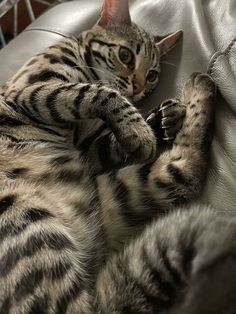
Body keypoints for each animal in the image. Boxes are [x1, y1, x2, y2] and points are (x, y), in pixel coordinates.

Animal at [0, 0, 236, 314]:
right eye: (125, 56)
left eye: (152, 75)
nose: (139, 88)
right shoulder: (30, 92)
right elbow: (92, 92)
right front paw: (141, 128)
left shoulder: (87, 148)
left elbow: (109, 136)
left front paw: (161, 120)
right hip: (27, 221)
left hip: (114, 192)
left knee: (185, 172)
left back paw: (200, 88)